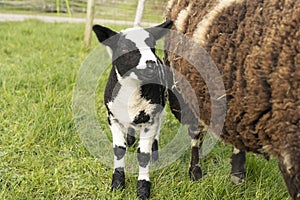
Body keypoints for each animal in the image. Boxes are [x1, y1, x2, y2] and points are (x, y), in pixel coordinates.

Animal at [94, 21, 173, 199]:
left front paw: (143, 188)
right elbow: (119, 150)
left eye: (152, 45)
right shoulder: (112, 117)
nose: (151, 64)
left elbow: (143, 155)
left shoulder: (150, 119)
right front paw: (117, 183)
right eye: (125, 48)